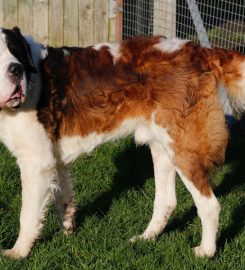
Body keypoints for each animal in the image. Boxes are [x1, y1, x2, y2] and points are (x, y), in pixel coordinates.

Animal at [0, 26, 245, 258]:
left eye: (15, 51)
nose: (16, 69)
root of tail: (197, 50)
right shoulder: (55, 158)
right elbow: (64, 198)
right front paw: (67, 231)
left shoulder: (36, 163)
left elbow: (27, 214)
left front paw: (18, 252)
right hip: (161, 147)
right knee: (167, 200)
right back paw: (146, 238)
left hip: (183, 149)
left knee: (209, 205)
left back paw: (206, 251)